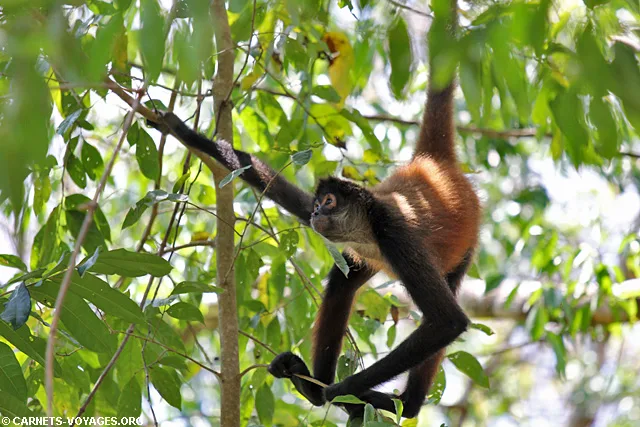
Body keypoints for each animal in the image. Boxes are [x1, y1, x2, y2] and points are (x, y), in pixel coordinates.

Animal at [148, 0, 479, 419]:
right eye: (320, 202)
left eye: (331, 202)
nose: (319, 212)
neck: (368, 226)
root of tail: (432, 165)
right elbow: (282, 193)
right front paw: (185, 133)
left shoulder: (394, 233)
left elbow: (448, 322)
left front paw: (343, 389)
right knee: (342, 282)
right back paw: (312, 387)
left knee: (446, 295)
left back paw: (400, 403)